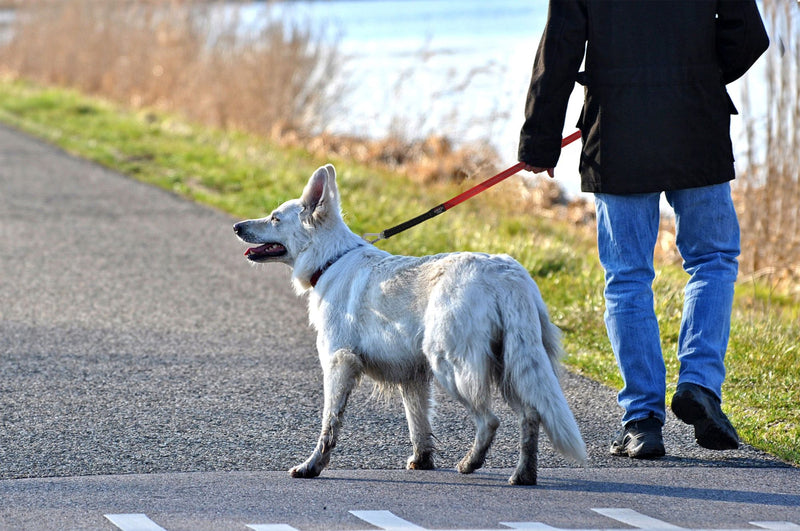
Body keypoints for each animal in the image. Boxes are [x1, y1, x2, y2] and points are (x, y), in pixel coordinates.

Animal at [234, 164, 584, 484]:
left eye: (275, 218)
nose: (237, 226)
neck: (331, 259)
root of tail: (506, 274)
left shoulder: (338, 363)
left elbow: (329, 423)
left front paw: (312, 466)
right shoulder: (412, 377)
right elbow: (419, 425)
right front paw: (422, 461)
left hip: (452, 366)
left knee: (490, 420)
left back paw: (471, 463)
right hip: (511, 366)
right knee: (531, 415)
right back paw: (523, 474)